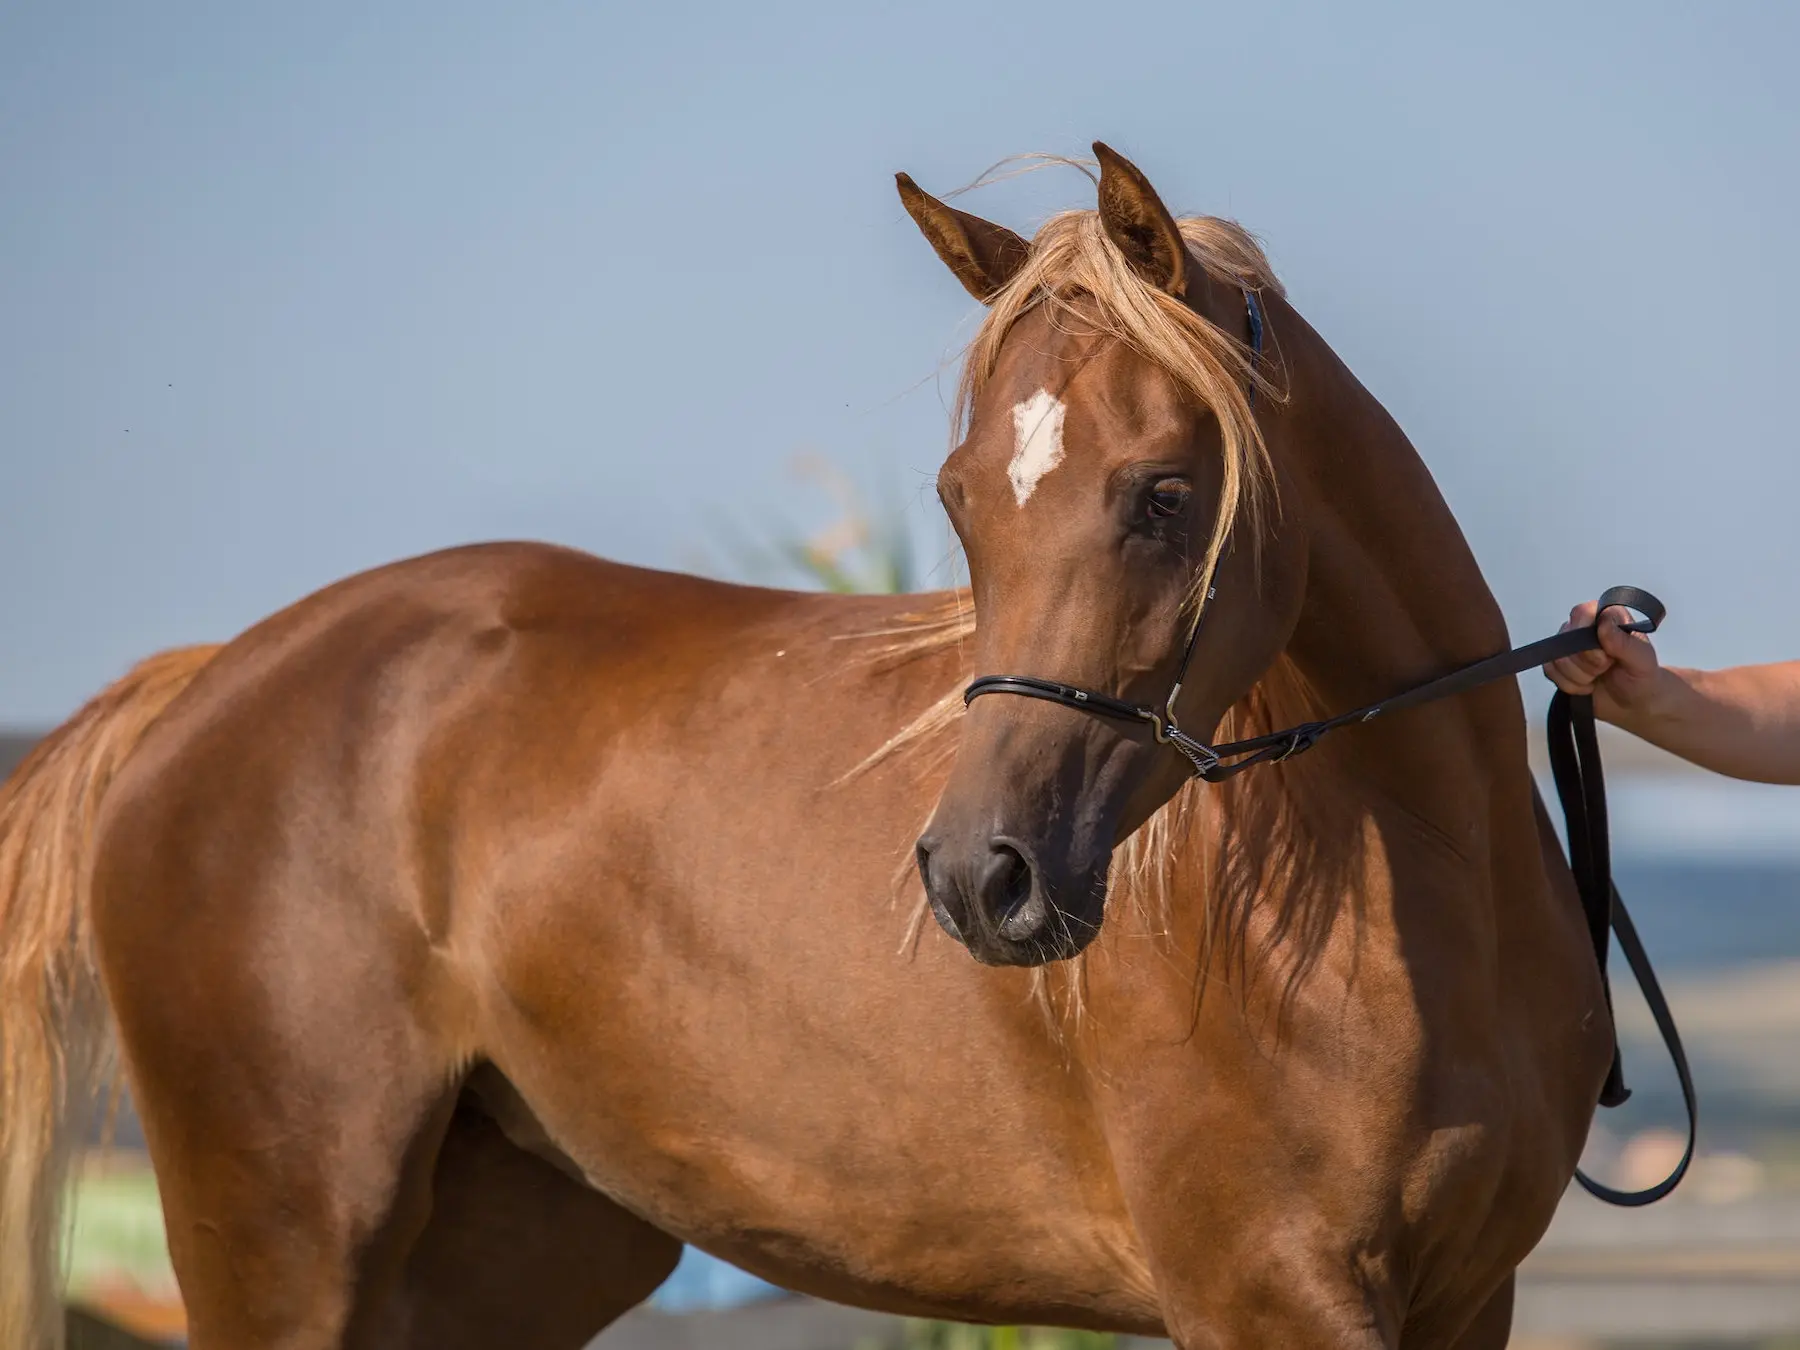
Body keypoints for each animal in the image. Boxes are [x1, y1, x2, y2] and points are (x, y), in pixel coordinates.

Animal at [0, 143, 1605, 1346]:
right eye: (961, 495)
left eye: (1162, 491)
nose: (981, 878)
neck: (1404, 910)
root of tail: (209, 679)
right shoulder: (1266, 1294)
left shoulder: (1465, 1301)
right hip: (287, 1244)